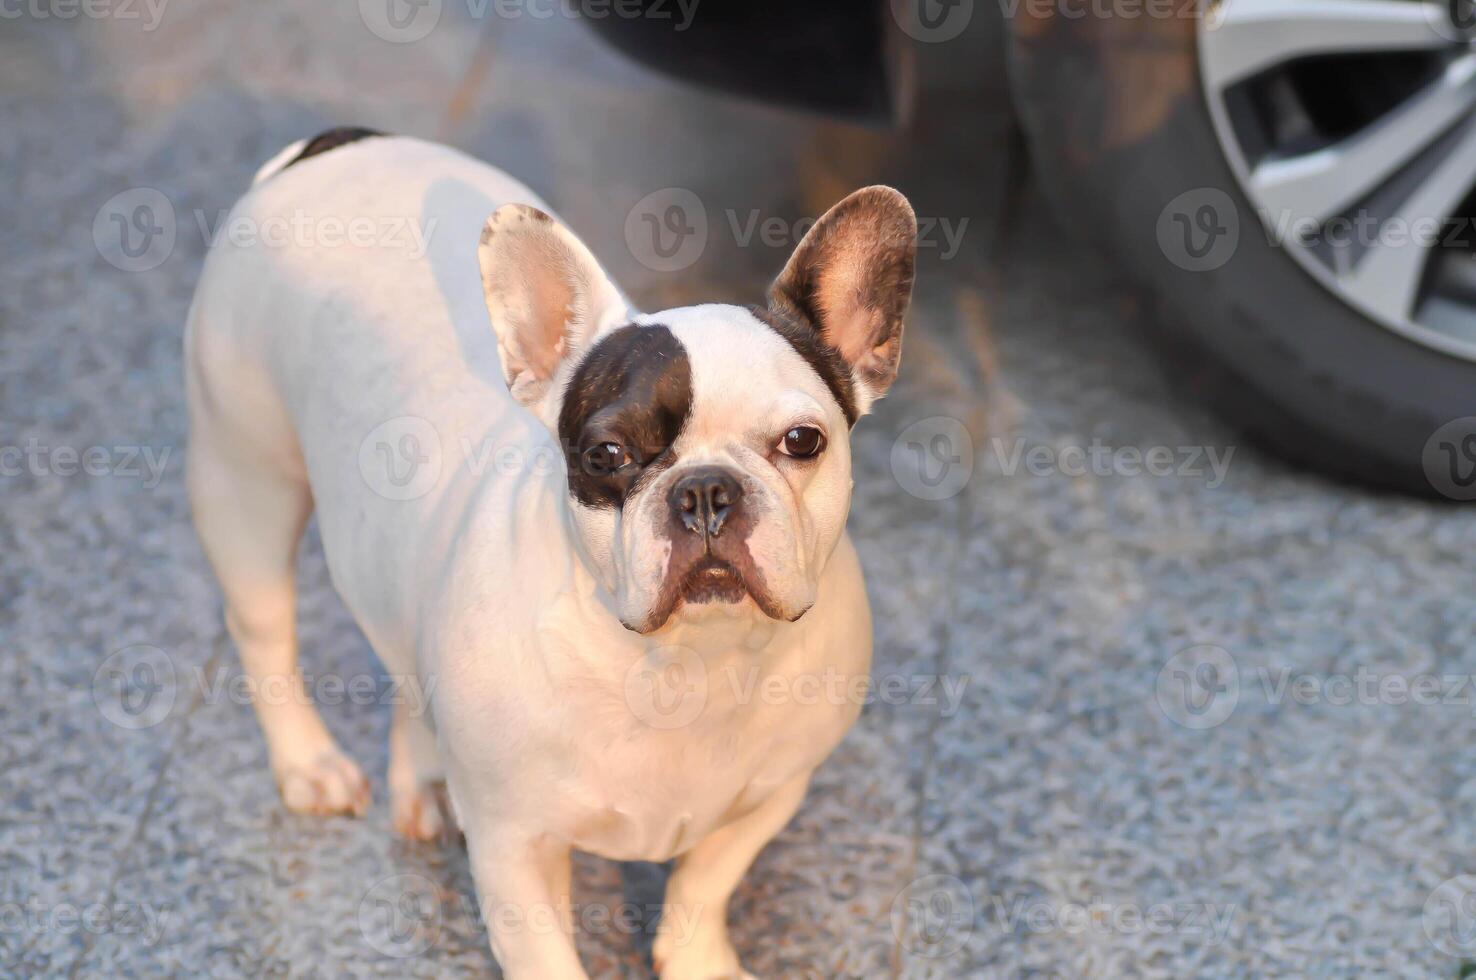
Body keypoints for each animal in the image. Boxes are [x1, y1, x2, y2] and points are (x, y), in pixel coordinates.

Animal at [185, 132, 915, 980]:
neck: (686, 665)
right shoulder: (515, 849)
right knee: (265, 632)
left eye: (803, 441)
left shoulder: (773, 795)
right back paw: (308, 764)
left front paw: (699, 960)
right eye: (607, 454)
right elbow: (549, 954)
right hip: (243, 477)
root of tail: (334, 144)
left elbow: (705, 884)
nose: (704, 490)